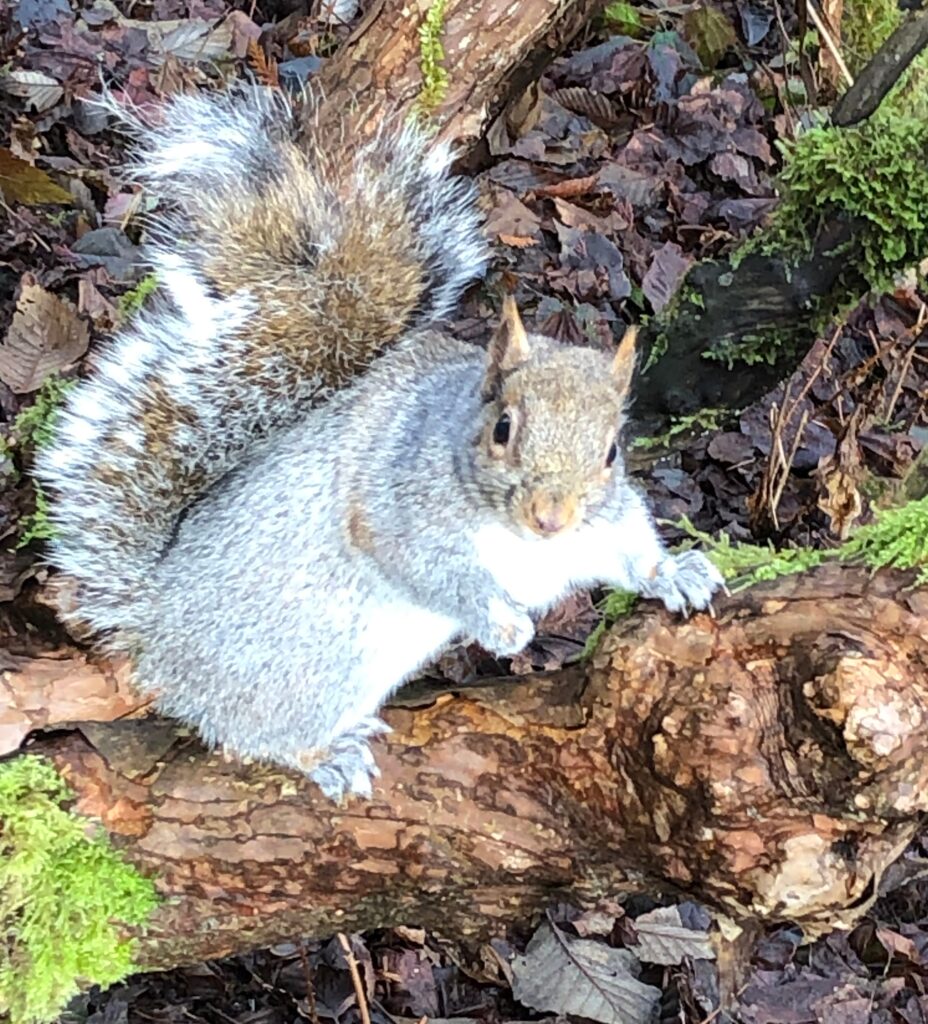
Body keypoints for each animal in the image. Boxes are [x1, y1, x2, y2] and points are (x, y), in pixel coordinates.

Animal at [36, 85, 724, 801]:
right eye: (503, 428)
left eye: (612, 450)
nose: (550, 517)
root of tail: (158, 633)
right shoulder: (396, 509)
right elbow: (429, 566)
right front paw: (501, 622)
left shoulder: (600, 528)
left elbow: (630, 552)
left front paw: (677, 573)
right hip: (313, 669)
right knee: (254, 735)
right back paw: (325, 754)